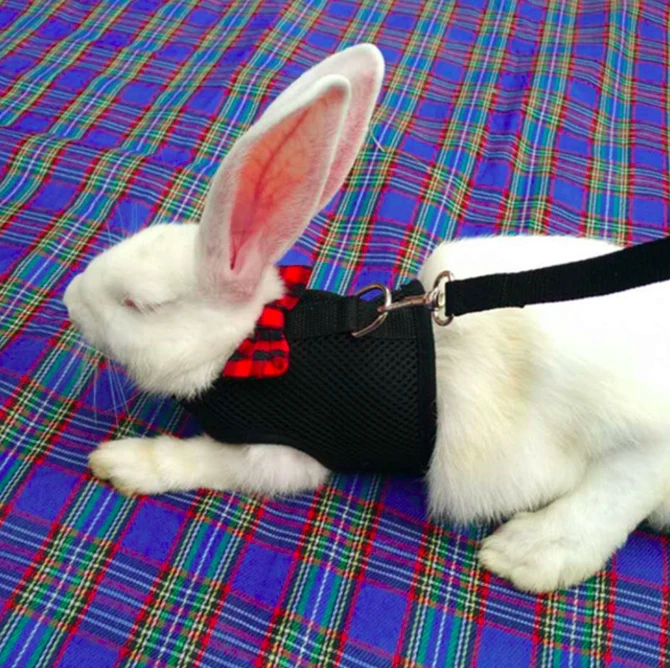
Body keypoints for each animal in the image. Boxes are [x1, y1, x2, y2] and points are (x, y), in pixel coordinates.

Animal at [63, 43, 670, 593]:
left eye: (139, 305)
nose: (69, 300)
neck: (251, 343)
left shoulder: (284, 454)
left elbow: (209, 463)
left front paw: (123, 463)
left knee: (628, 483)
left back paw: (529, 553)